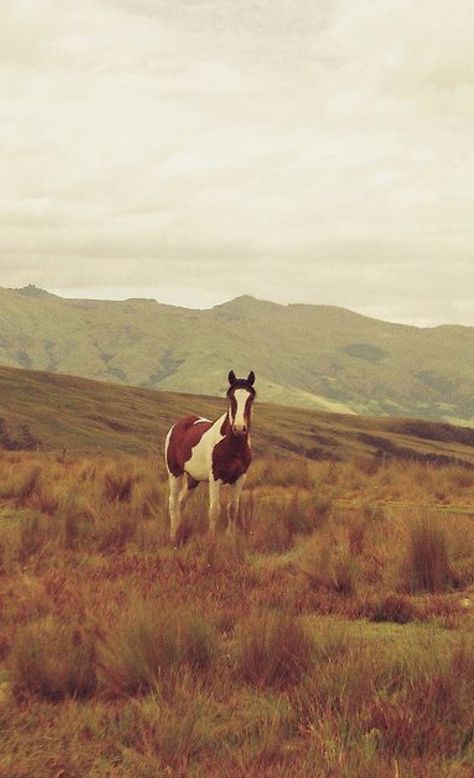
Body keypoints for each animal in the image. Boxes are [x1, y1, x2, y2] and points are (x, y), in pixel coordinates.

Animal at [166, 368, 258, 540]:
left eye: (250, 398)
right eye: (231, 397)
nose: (239, 428)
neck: (232, 447)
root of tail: (178, 424)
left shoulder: (240, 478)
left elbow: (232, 509)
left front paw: (230, 537)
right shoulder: (215, 477)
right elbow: (215, 510)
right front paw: (211, 539)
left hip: (193, 479)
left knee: (181, 502)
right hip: (175, 473)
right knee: (173, 502)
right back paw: (173, 535)